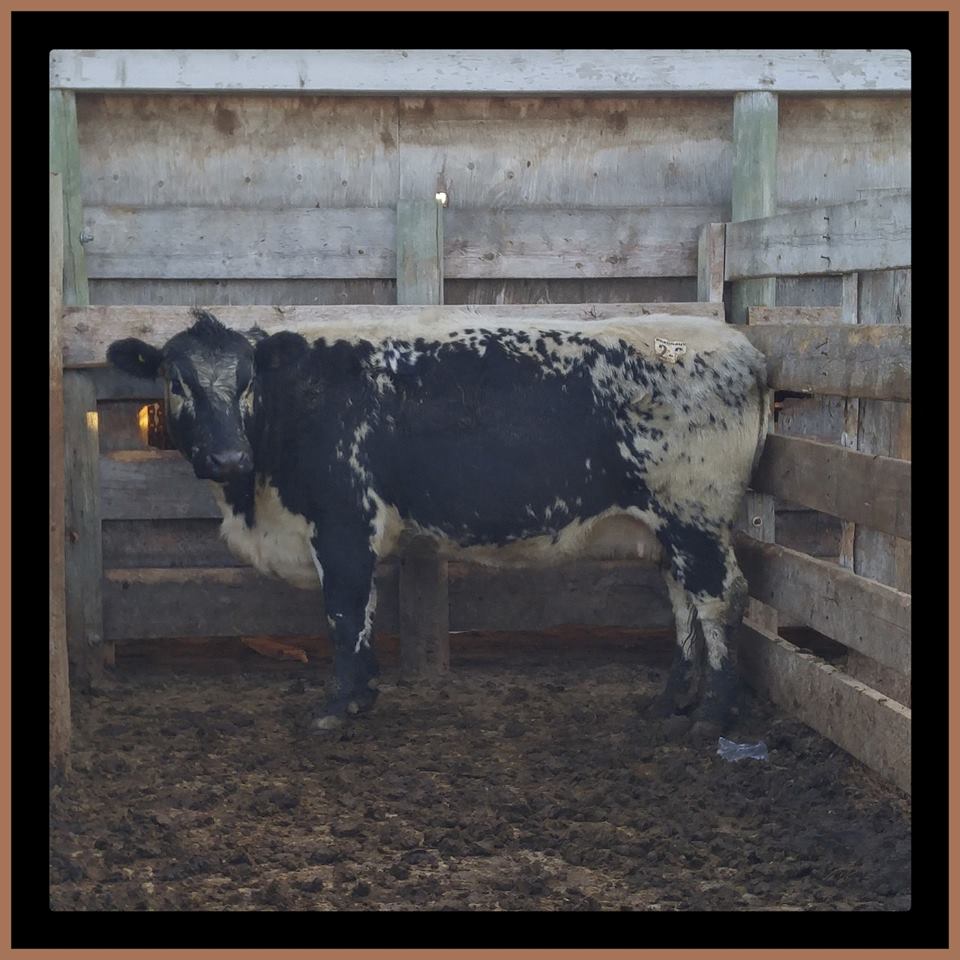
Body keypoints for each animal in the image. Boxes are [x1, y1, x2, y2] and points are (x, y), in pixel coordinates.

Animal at [108, 308, 768, 738]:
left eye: (245, 382)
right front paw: (362, 694)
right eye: (177, 382)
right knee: (683, 601)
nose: (227, 457)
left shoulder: (344, 523)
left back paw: (712, 716)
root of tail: (743, 347)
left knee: (718, 599)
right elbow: (363, 613)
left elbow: (344, 611)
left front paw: (340, 704)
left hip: (694, 515)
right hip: (670, 528)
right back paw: (670, 703)